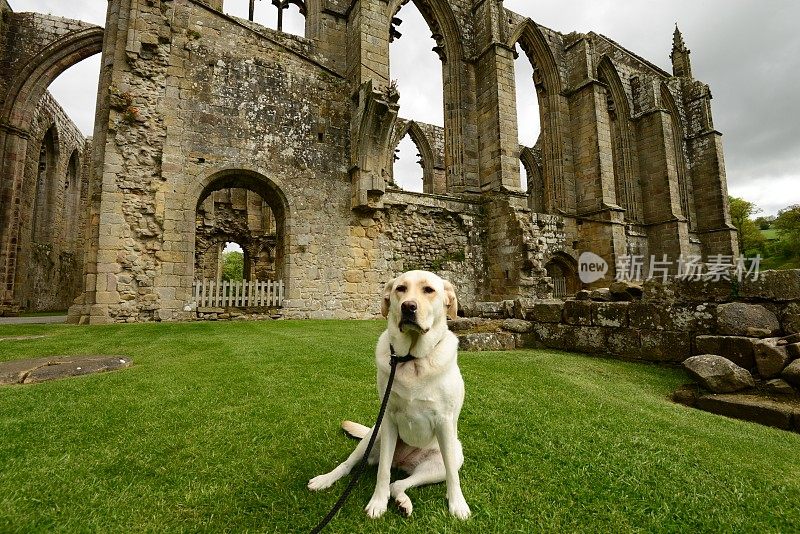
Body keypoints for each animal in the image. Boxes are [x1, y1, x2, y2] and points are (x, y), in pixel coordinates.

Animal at [304, 270, 468, 520]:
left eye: (429, 290)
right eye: (400, 288)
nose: (408, 306)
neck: (411, 359)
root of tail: (402, 462)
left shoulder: (445, 422)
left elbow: (453, 475)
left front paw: (457, 504)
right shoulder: (389, 420)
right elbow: (382, 471)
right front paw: (377, 502)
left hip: (442, 460)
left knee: (400, 483)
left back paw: (403, 502)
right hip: (374, 435)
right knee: (351, 465)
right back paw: (325, 480)